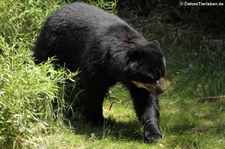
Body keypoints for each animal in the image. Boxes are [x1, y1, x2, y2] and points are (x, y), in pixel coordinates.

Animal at [34, 2, 166, 142]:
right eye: (151, 77)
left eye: (163, 74)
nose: (162, 89)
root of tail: (55, 12)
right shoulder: (95, 62)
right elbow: (94, 91)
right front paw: (99, 120)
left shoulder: (137, 83)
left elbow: (146, 101)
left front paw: (154, 134)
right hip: (52, 46)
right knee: (43, 62)